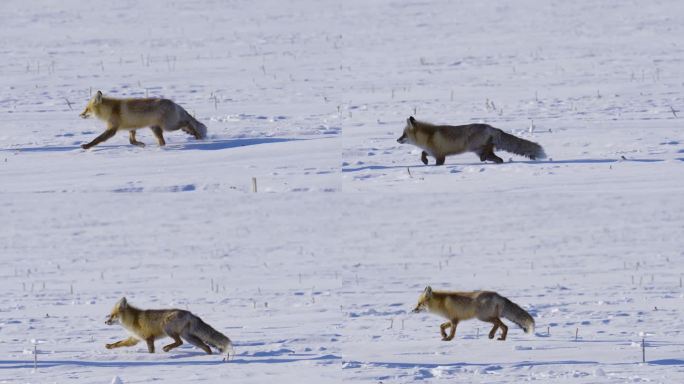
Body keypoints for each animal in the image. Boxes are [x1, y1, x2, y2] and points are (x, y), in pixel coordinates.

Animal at [79, 91, 207, 149]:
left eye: (86, 109)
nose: (80, 115)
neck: (111, 110)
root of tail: (174, 103)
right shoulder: (131, 127)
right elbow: (132, 141)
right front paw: (141, 145)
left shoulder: (112, 129)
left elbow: (97, 139)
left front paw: (87, 146)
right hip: (156, 128)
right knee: (163, 141)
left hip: (169, 126)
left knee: (188, 122)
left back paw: (196, 134)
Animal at [105, 296, 234, 360]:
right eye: (109, 315)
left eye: (112, 316)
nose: (105, 322)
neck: (134, 320)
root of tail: (190, 313)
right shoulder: (134, 338)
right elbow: (119, 343)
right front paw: (109, 346)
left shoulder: (148, 338)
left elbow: (151, 351)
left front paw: (151, 357)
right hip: (188, 337)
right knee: (206, 346)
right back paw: (208, 357)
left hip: (167, 328)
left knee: (179, 342)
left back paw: (167, 348)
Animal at [396, 116, 544, 166]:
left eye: (403, 134)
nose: (397, 140)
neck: (429, 136)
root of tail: (492, 128)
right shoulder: (432, 152)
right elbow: (423, 153)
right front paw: (424, 161)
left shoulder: (440, 156)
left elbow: (437, 163)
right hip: (481, 150)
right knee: (498, 159)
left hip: (476, 147)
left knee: (489, 155)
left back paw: (484, 159)